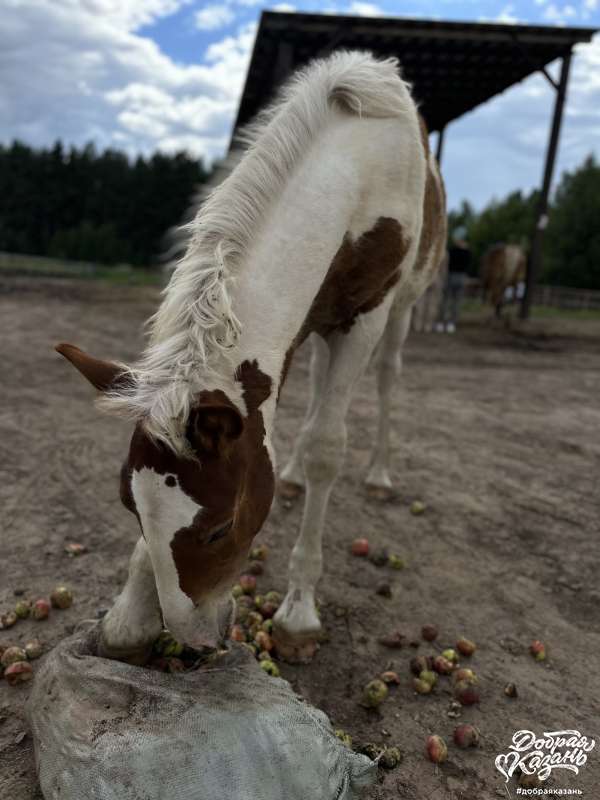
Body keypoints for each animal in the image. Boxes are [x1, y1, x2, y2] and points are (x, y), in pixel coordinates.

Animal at [58, 50, 448, 664]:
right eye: (129, 507)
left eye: (221, 528)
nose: (194, 641)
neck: (357, 167)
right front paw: (131, 616)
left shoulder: (366, 318)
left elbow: (328, 447)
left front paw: (298, 615)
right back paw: (288, 475)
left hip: (401, 312)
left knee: (386, 380)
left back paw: (379, 475)